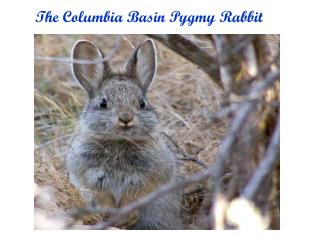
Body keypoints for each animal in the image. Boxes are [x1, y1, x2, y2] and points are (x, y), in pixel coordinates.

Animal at [65, 38, 182, 230]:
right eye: (103, 103)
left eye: (142, 103)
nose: (126, 118)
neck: (119, 141)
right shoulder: (91, 178)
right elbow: (102, 197)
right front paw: (111, 215)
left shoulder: (149, 178)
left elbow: (136, 196)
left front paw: (126, 218)